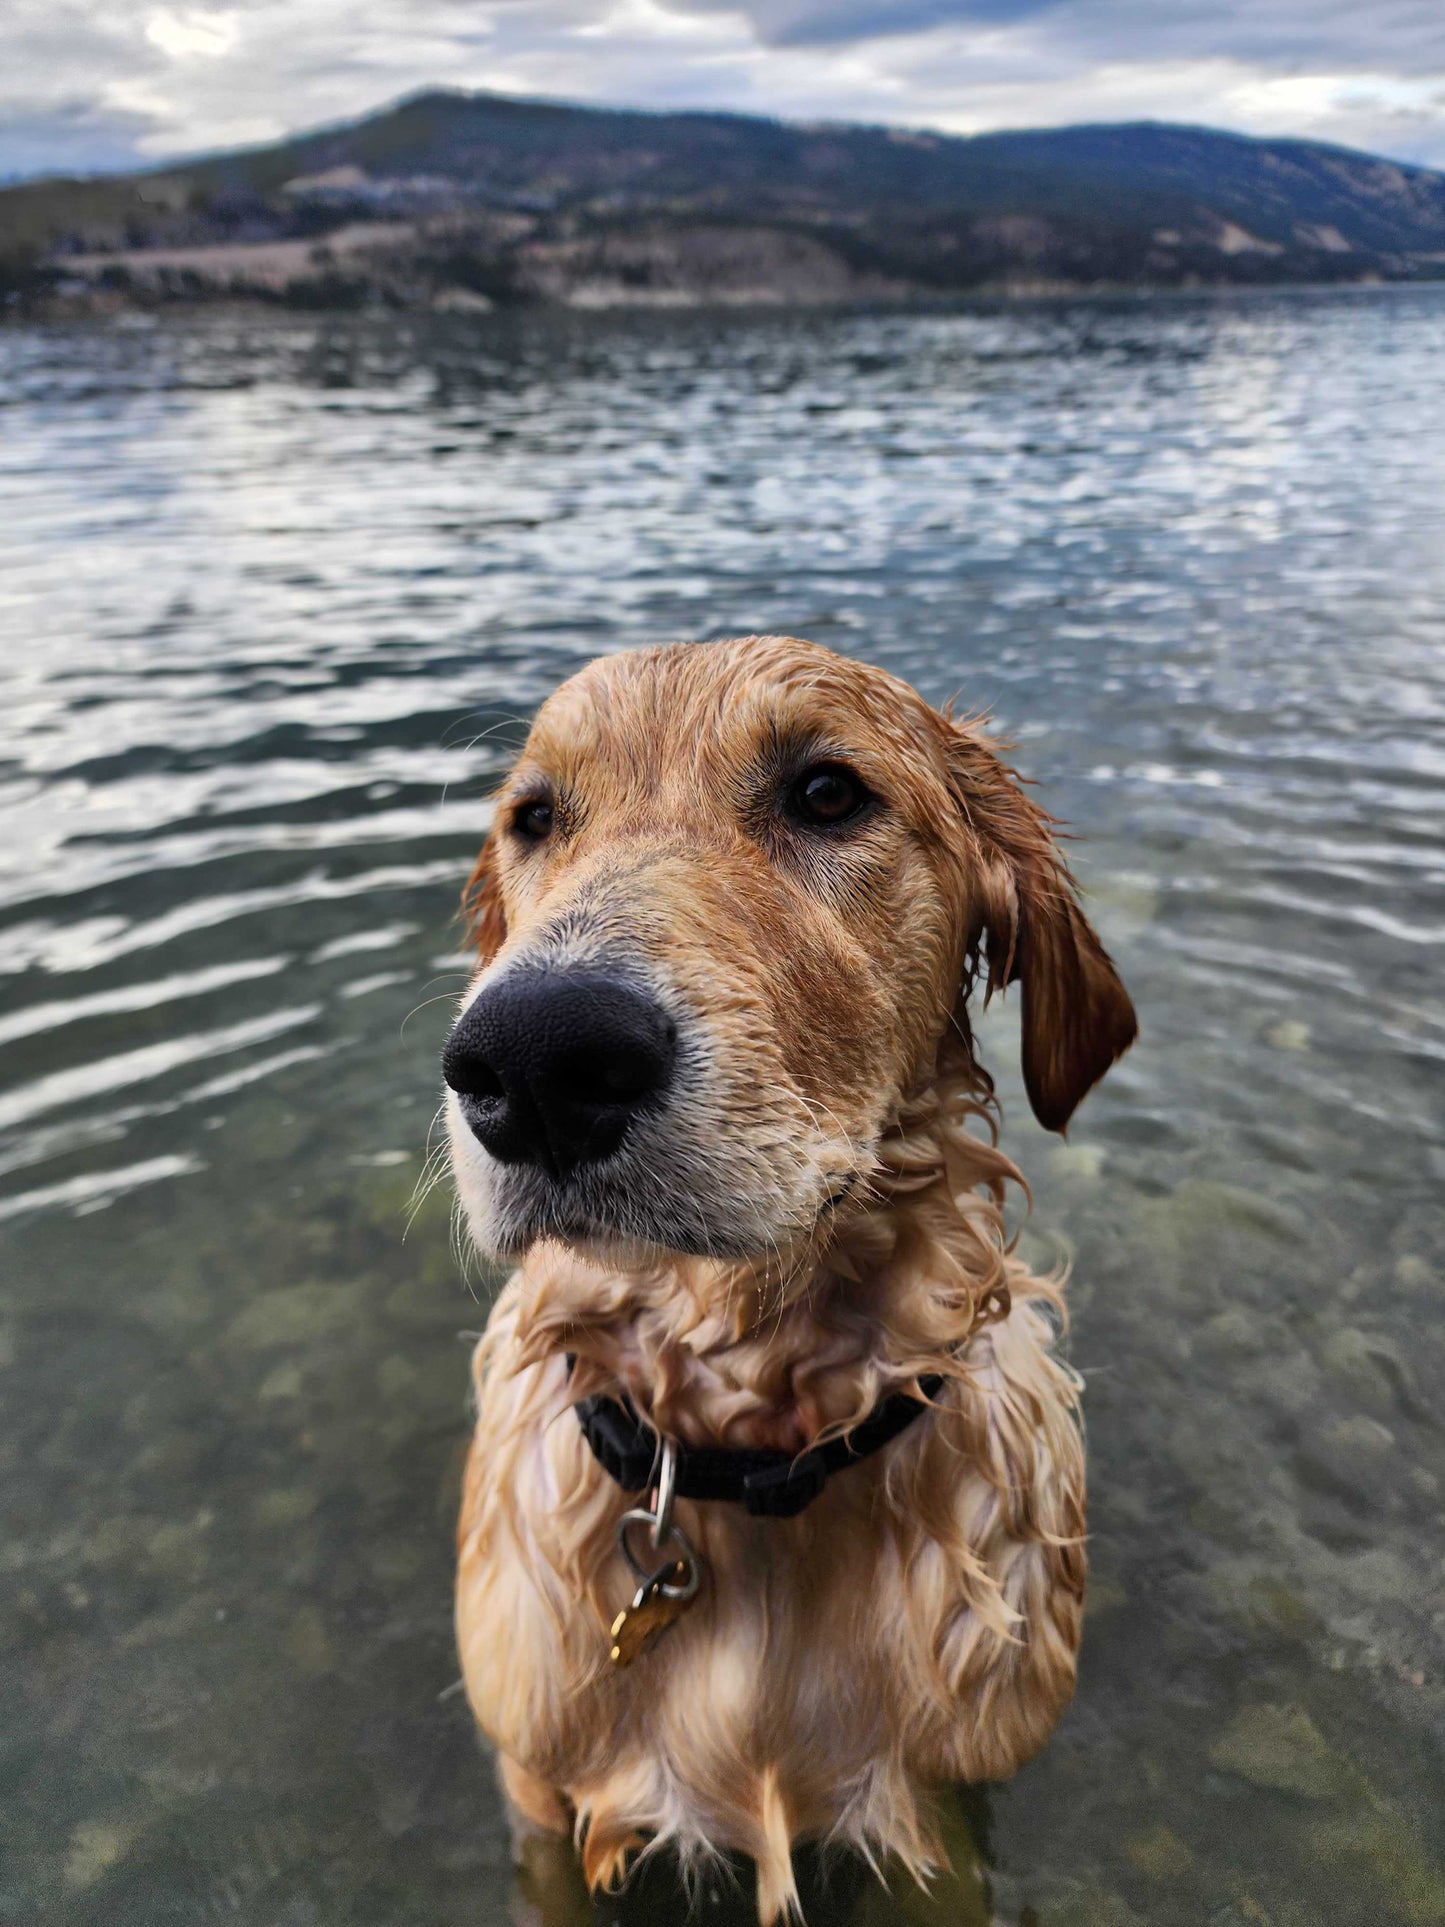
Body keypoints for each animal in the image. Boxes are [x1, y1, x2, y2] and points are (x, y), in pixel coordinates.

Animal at [446, 632, 1140, 1911]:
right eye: (536, 817)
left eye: (825, 793)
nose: (533, 1059)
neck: (739, 1446)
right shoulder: (537, 1791)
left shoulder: (936, 1810)